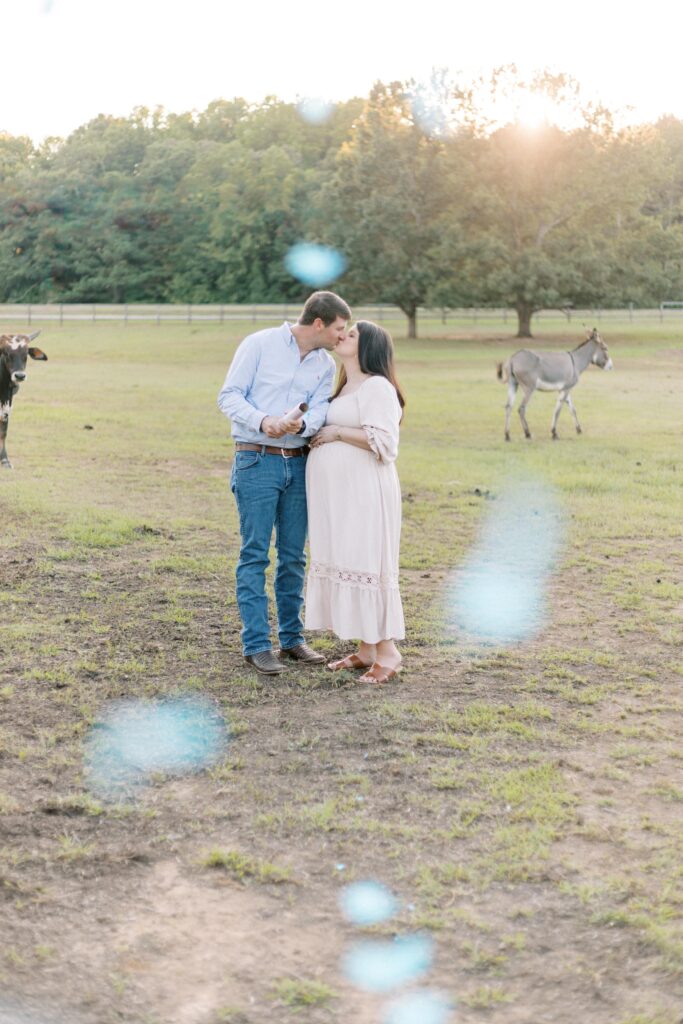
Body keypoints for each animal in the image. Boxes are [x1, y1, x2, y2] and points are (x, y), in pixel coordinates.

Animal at [0, 329, 47, 468]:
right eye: (6, 352)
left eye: (26, 353)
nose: (19, 376)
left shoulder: (6, 408)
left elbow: (3, 433)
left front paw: (5, 460)